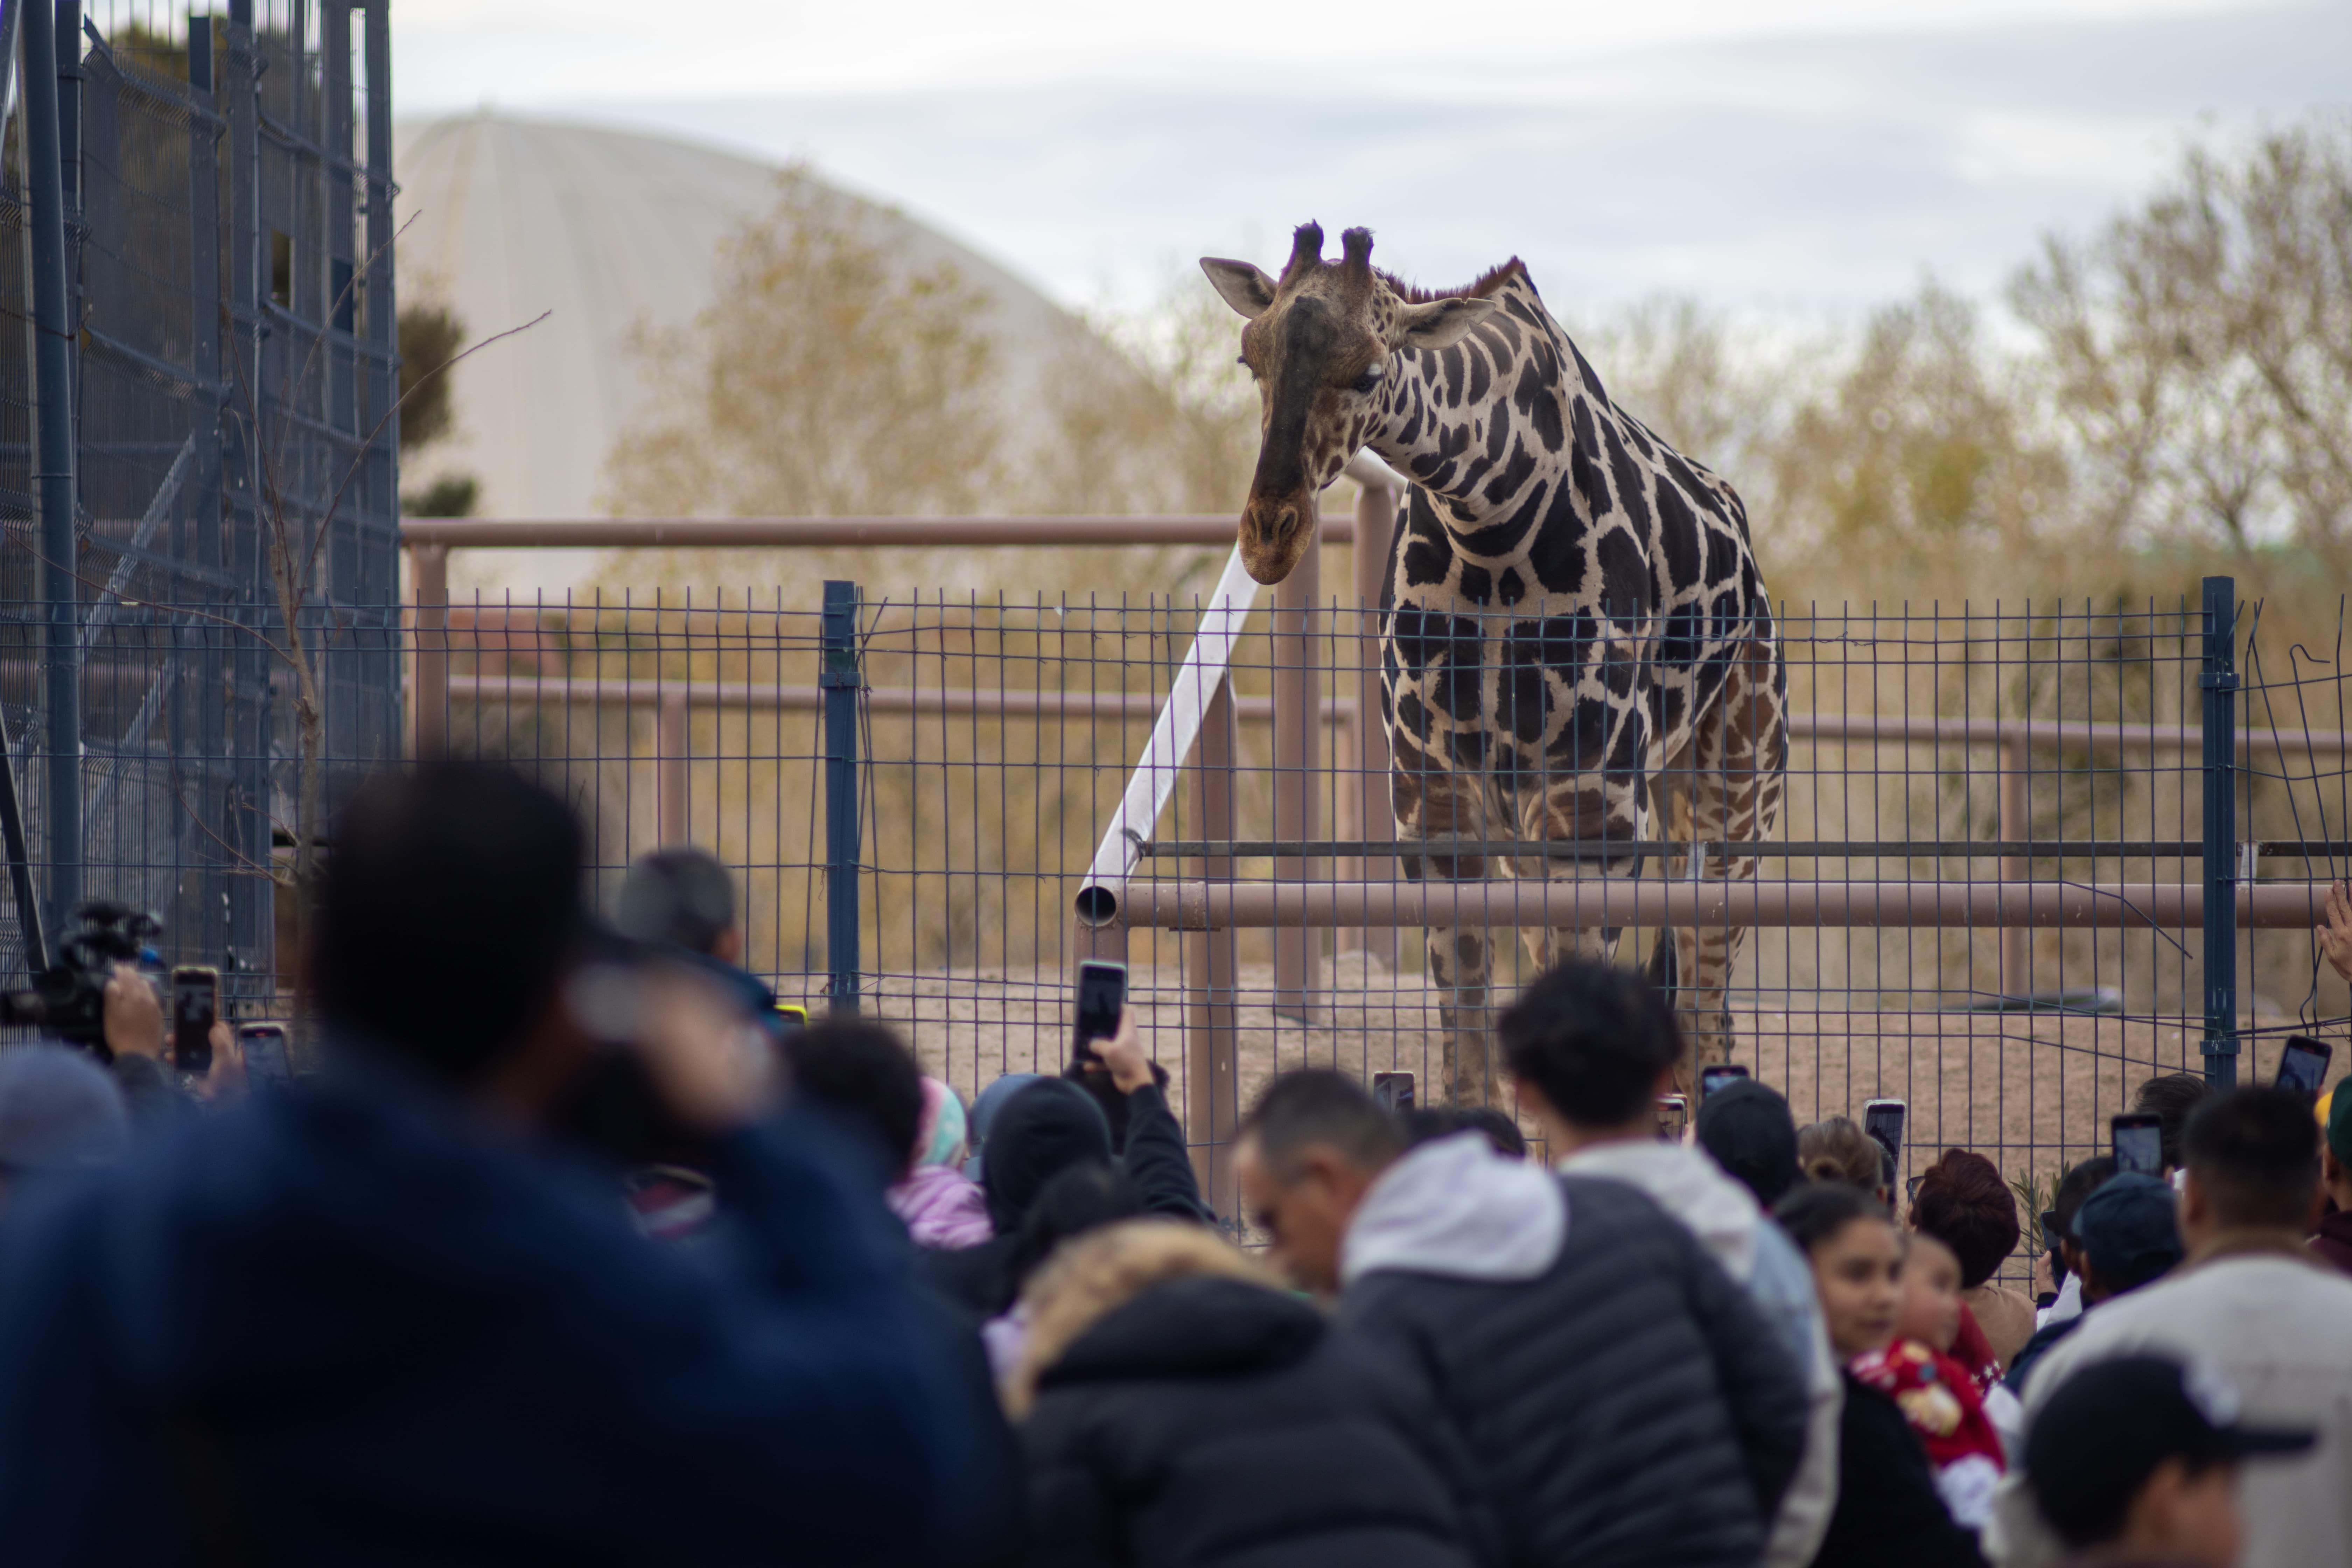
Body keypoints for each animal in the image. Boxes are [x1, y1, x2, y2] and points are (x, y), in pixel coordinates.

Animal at [1213, 227, 1778, 1105]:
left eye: (1370, 371)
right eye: (1251, 358)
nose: (1270, 534)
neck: (1490, 520)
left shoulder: (1595, 807)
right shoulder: (1436, 800)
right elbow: (1469, 1054)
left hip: (1734, 799)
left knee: (1709, 1014)